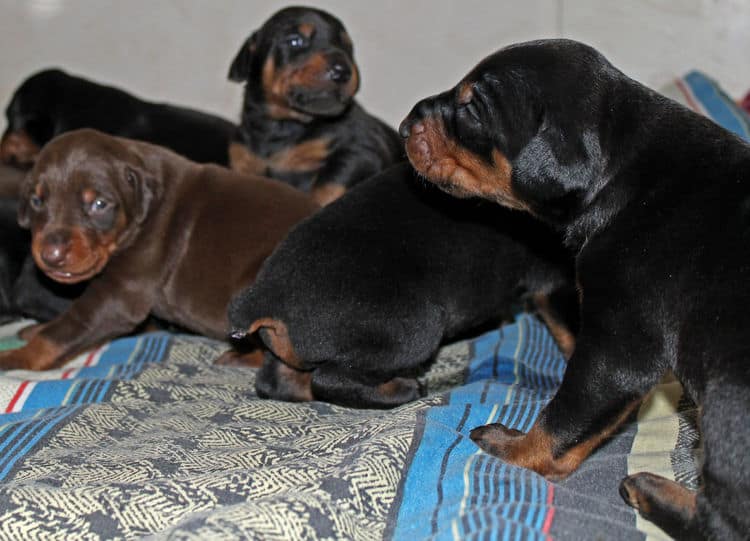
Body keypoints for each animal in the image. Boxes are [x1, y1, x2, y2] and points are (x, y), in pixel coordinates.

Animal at [0, 129, 318, 372]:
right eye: (37, 200)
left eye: (99, 204)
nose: (50, 255)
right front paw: (36, 329)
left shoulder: (117, 296)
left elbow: (64, 331)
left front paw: (15, 356)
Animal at [223, 162, 576, 408]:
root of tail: (265, 295)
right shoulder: (553, 283)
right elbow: (570, 332)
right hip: (417, 328)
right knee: (328, 379)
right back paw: (403, 389)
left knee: (278, 381)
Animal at [228, 6, 406, 205]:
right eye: (295, 41)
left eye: (347, 47)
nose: (343, 71)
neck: (283, 126)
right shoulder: (242, 158)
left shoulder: (362, 151)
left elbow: (328, 185)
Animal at [402, 39, 750, 540]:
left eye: (471, 107)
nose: (404, 125)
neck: (619, 173)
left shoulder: (618, 349)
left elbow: (562, 419)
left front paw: (511, 446)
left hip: (729, 400)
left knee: (721, 519)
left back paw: (650, 491)